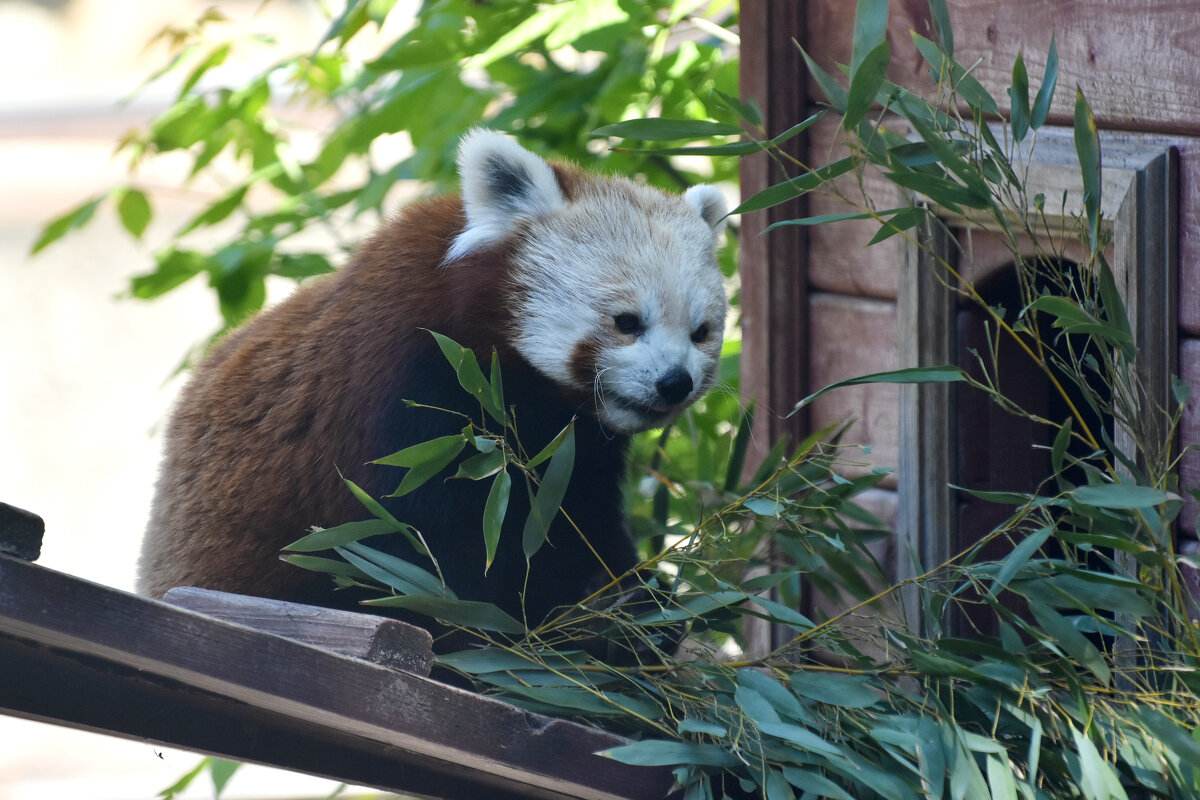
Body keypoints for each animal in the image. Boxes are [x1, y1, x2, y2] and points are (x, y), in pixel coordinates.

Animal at [136, 130, 724, 633]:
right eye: (627, 322)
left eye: (700, 333)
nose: (675, 383)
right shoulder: (405, 389)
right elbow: (423, 552)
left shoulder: (573, 455)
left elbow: (578, 526)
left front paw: (636, 600)